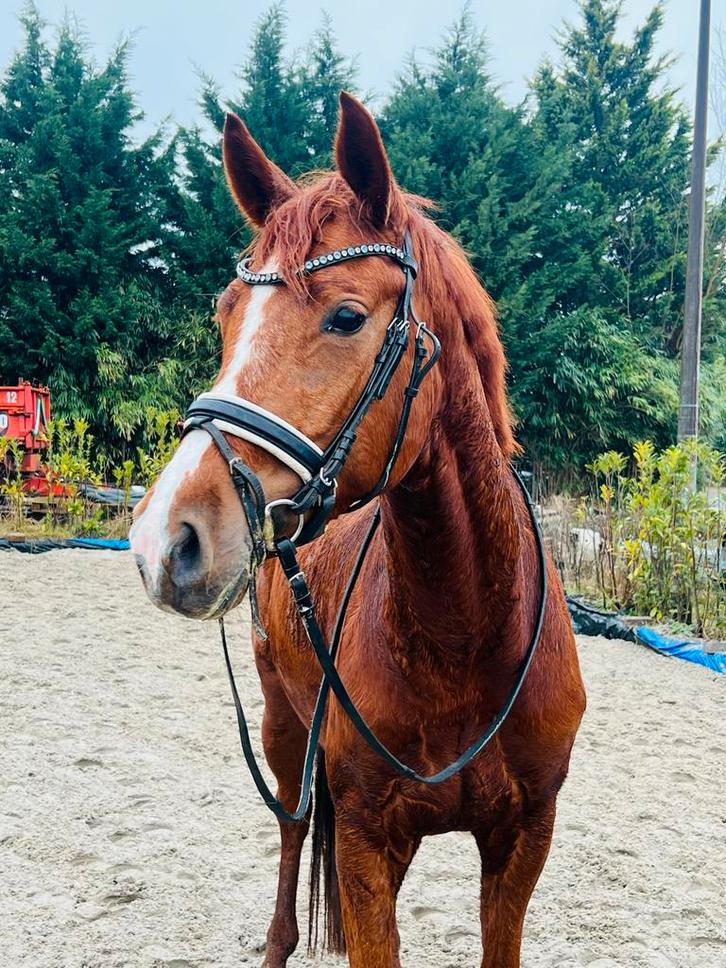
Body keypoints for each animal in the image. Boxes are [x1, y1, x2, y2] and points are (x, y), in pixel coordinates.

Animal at [130, 91, 586, 968]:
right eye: (226, 314)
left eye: (346, 316)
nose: (165, 541)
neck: (466, 637)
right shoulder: (368, 842)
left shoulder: (525, 843)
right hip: (283, 730)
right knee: (291, 830)